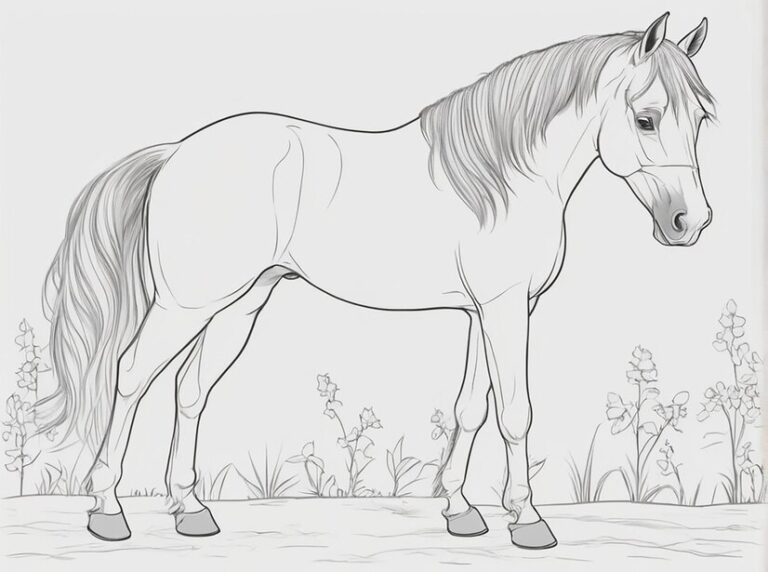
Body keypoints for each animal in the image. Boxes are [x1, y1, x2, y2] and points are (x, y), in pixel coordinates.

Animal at [40, 13, 714, 547]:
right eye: (647, 119)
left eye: (702, 118)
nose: (691, 223)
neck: (509, 175)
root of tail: (175, 153)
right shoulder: (504, 310)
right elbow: (515, 412)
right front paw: (527, 520)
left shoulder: (483, 313)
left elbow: (471, 408)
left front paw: (460, 510)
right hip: (186, 305)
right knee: (132, 376)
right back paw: (107, 511)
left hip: (238, 306)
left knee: (190, 389)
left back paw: (190, 510)